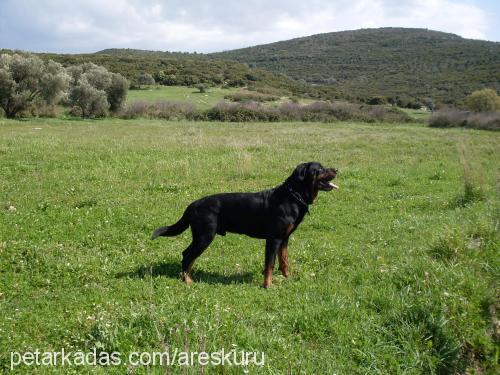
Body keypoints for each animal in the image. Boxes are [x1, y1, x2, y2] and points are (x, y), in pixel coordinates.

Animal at [152, 162, 338, 288]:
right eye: (319, 169)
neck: (293, 196)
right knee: (188, 256)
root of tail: (192, 205)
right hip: (204, 236)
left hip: (201, 236)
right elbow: (269, 264)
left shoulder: (284, 239)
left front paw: (287, 277)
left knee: (186, 255)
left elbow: (284, 260)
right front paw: (268, 285)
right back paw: (188, 280)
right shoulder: (273, 239)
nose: (337, 170)